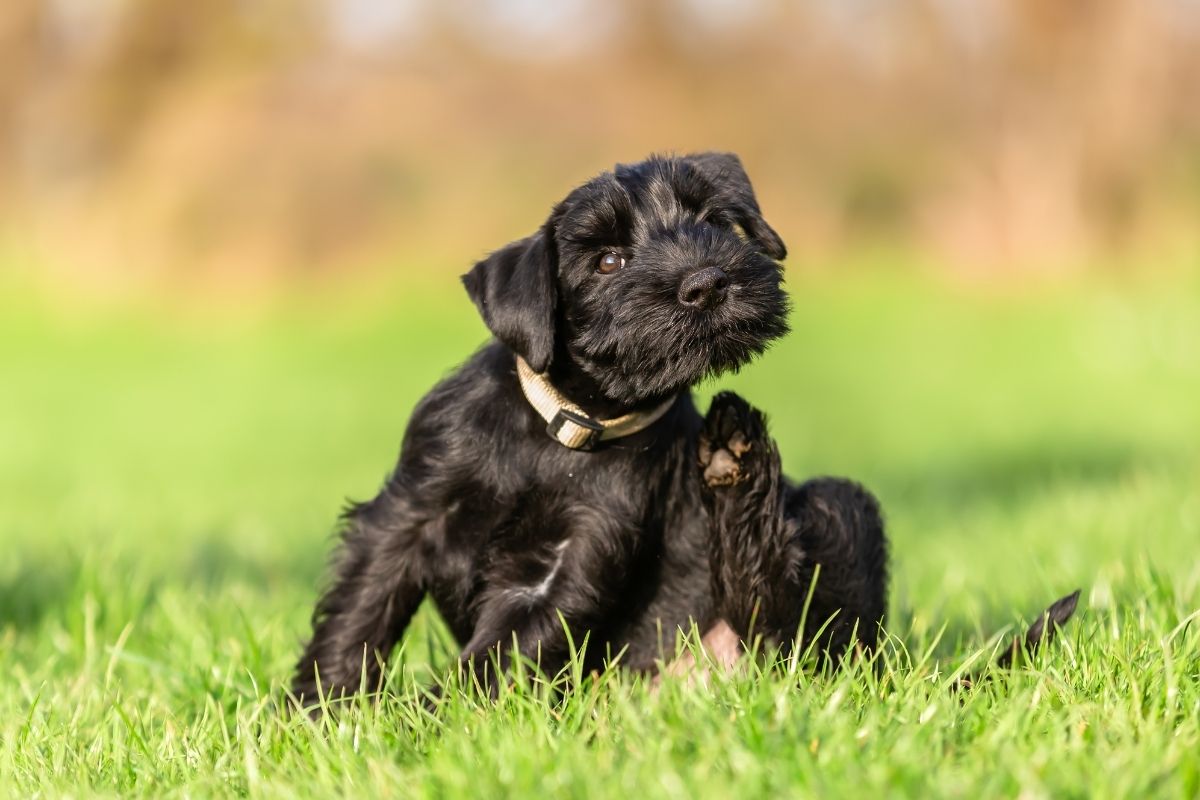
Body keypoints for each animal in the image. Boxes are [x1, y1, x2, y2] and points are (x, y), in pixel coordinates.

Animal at [292, 151, 892, 705]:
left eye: (714, 221)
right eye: (607, 261)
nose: (706, 283)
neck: (567, 426)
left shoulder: (577, 553)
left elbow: (499, 652)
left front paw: (430, 720)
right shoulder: (407, 513)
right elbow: (361, 612)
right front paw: (320, 709)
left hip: (841, 508)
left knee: (795, 632)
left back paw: (738, 457)